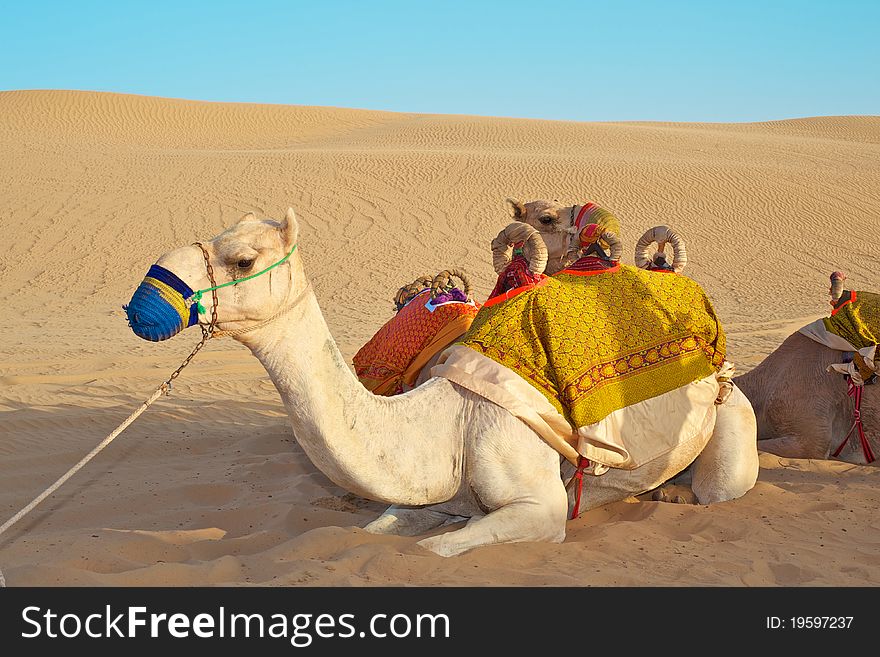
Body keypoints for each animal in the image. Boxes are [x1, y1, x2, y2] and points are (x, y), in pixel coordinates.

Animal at [127, 208, 760, 556]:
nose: (144, 298)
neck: (450, 421)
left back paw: (675, 492)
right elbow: (382, 528)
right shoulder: (436, 496)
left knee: (720, 485)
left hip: (729, 417)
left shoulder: (542, 507)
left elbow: (435, 549)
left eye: (242, 260)